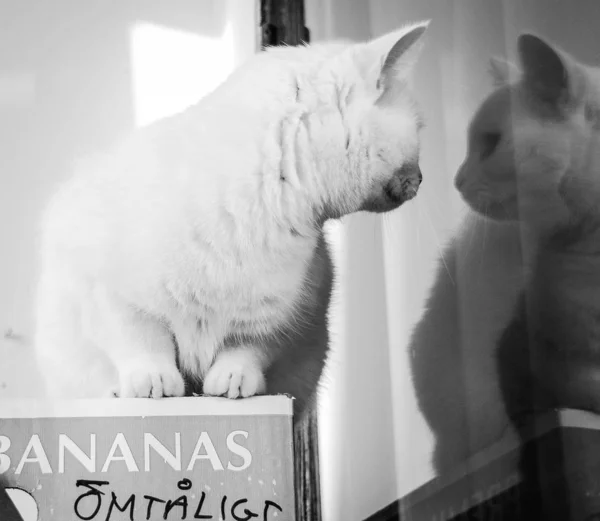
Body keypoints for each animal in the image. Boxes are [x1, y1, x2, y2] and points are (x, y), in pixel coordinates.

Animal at [35, 22, 428, 408]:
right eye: (420, 130)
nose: (423, 178)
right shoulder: (109, 295)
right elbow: (143, 341)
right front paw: (151, 382)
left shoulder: (284, 313)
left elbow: (246, 350)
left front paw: (232, 382)